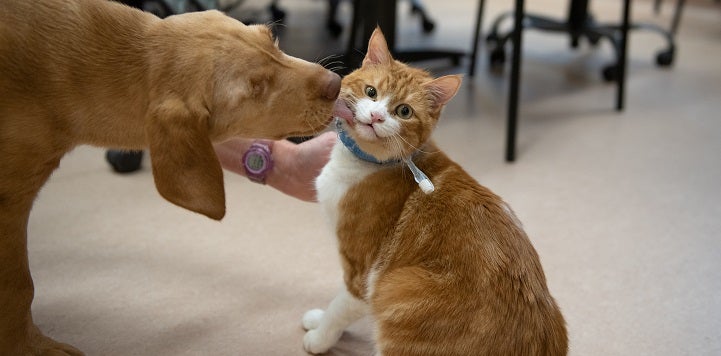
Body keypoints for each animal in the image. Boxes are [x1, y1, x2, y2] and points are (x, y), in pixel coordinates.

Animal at [0, 0, 340, 354]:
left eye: (271, 38)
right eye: (256, 87)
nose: (336, 82)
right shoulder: (10, 203)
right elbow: (19, 285)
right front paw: (27, 345)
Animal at [300, 28, 564, 356]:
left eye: (403, 111)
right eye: (371, 92)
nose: (376, 117)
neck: (369, 163)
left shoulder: (362, 274)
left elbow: (339, 308)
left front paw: (319, 337)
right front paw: (317, 319)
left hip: (398, 287)